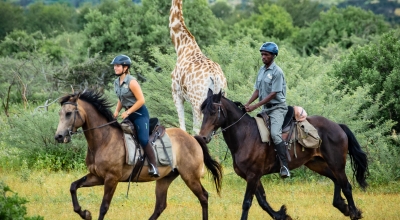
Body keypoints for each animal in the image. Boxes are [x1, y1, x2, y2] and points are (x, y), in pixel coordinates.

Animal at [53, 90, 222, 219]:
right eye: (60, 113)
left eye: (69, 113)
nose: (59, 137)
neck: (104, 139)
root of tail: (193, 138)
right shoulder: (97, 176)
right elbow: (73, 186)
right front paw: (85, 213)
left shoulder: (111, 179)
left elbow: (104, 207)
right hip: (165, 178)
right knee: (160, 205)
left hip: (190, 177)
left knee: (203, 197)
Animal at [168, 0, 227, 134]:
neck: (181, 46)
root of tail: (215, 77)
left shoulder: (177, 94)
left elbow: (183, 127)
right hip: (221, 97)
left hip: (198, 102)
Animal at [200, 90, 368, 220]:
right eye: (203, 112)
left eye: (213, 111)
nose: (202, 137)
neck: (246, 135)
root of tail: (337, 126)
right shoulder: (252, 176)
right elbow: (262, 201)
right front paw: (281, 214)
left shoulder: (253, 175)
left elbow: (247, 203)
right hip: (317, 164)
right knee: (336, 180)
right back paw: (342, 206)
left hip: (336, 163)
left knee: (346, 186)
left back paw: (354, 213)